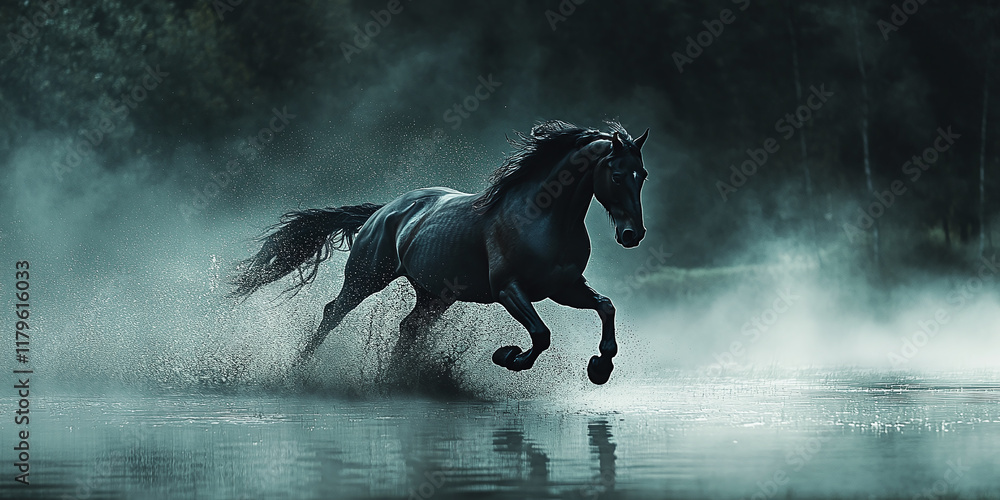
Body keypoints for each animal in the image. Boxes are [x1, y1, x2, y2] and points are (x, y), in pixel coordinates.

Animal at [231, 120, 649, 384]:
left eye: (641, 175)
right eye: (616, 174)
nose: (633, 234)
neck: (543, 215)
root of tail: (385, 210)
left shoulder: (564, 287)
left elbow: (606, 306)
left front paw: (600, 367)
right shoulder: (509, 290)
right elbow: (541, 335)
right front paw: (508, 357)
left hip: (435, 296)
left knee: (408, 328)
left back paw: (393, 380)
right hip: (367, 277)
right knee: (334, 312)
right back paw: (298, 371)